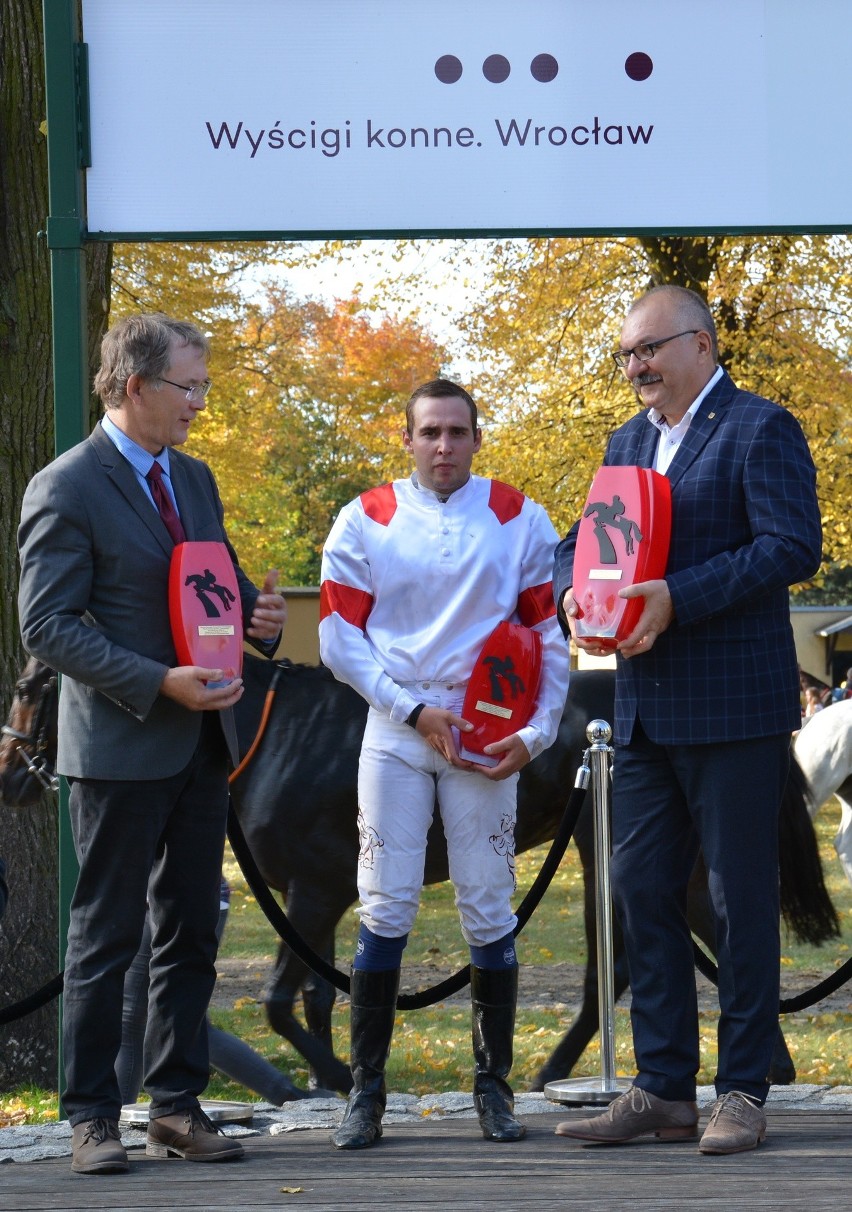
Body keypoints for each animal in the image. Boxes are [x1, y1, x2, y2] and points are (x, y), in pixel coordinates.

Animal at [0, 654, 838, 1100]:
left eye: (33, 685)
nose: (10, 773)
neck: (278, 737)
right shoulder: (325, 893)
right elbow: (317, 991)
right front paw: (339, 1073)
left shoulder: (314, 892)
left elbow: (277, 1000)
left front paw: (336, 1073)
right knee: (658, 946)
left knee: (695, 940)